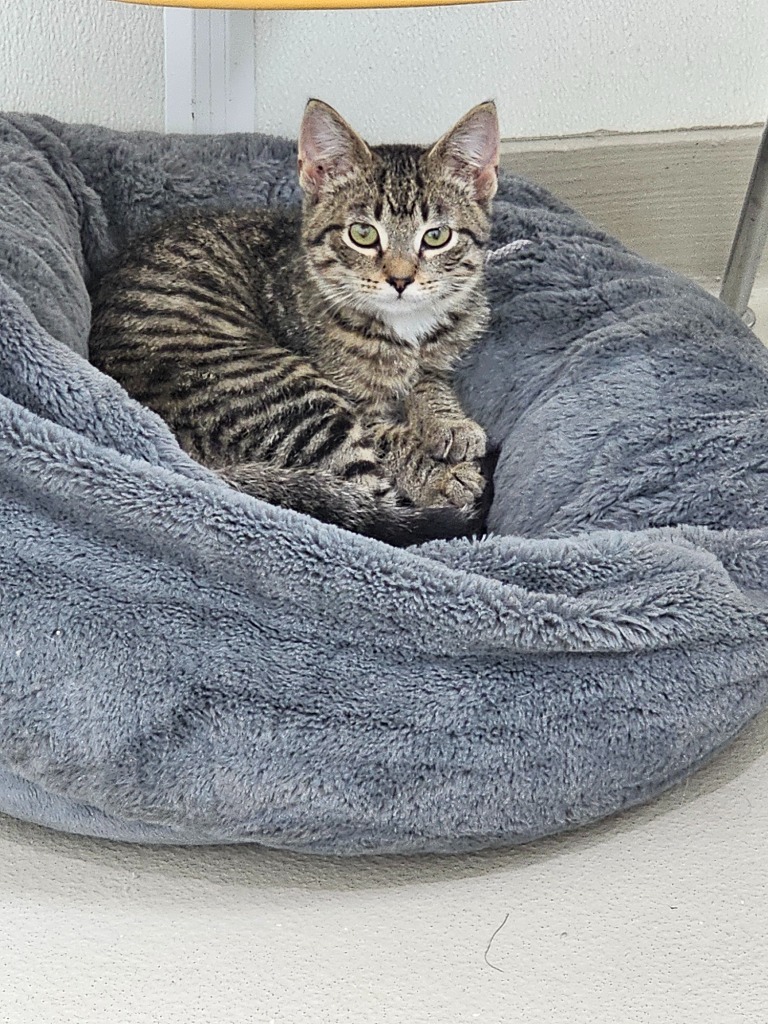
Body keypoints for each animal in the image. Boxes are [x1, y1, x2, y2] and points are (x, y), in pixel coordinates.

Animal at [90, 97, 501, 544]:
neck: (405, 328)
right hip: (292, 398)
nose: (400, 280)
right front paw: (440, 473)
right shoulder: (355, 406)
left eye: (436, 237)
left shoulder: (437, 355)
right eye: (362, 234)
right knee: (371, 506)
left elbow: (430, 381)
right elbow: (386, 436)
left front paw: (449, 422)